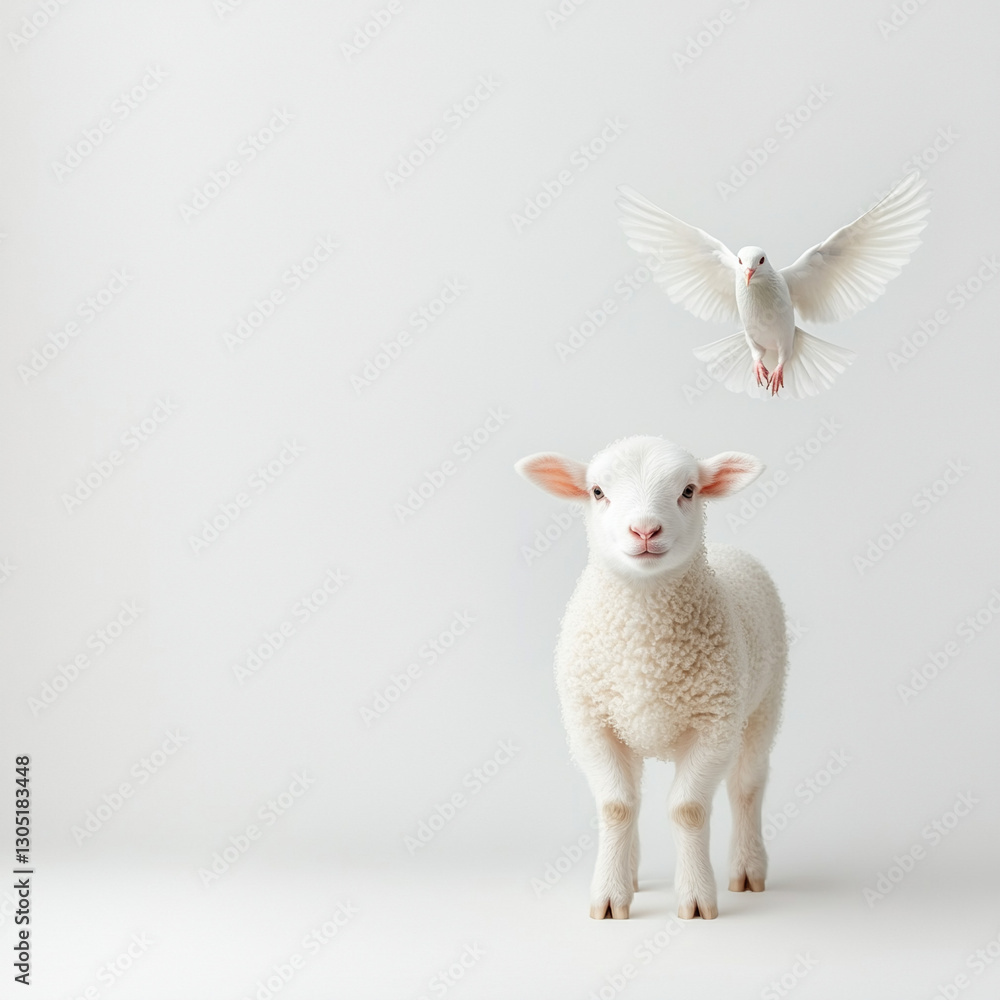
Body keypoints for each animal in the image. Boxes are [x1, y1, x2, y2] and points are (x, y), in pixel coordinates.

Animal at [515, 435, 787, 921]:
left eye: (689, 490)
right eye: (597, 491)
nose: (644, 531)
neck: (646, 654)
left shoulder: (714, 725)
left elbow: (688, 809)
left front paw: (695, 897)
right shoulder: (592, 723)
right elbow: (617, 806)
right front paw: (610, 895)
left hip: (765, 702)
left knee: (747, 787)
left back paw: (747, 869)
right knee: (636, 796)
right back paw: (631, 874)